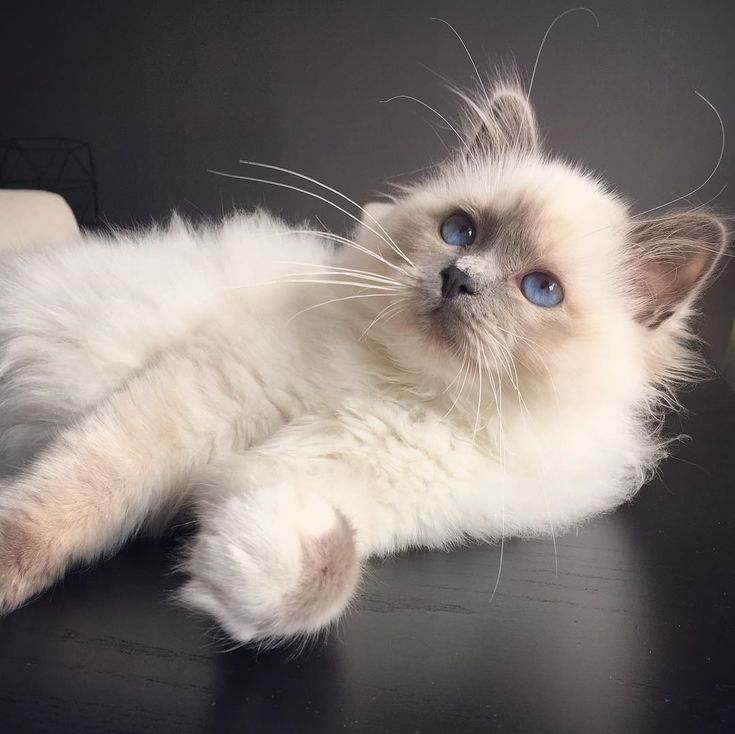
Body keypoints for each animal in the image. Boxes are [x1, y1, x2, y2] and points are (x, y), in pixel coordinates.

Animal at [0, 79, 728, 644]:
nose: (457, 278)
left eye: (541, 290)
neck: (403, 391)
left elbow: (328, 566)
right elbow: (70, 499)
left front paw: (266, 552)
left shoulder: (330, 485)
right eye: (460, 231)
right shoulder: (194, 401)